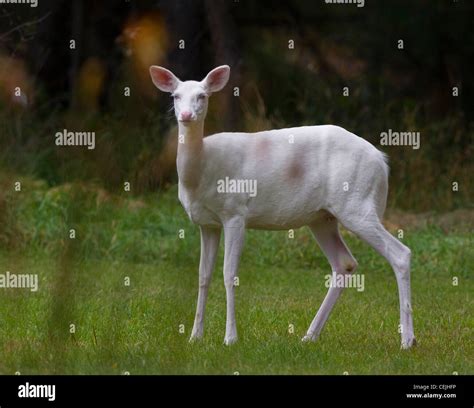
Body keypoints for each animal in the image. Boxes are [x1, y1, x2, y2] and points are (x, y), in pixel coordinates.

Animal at [148, 63, 414, 348]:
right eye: (175, 96)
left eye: (203, 95)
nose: (186, 115)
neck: (203, 169)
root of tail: (382, 161)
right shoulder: (207, 224)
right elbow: (203, 276)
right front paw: (194, 337)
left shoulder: (235, 212)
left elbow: (229, 274)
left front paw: (230, 338)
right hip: (322, 217)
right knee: (345, 263)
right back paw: (309, 336)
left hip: (357, 203)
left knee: (400, 253)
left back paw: (407, 341)